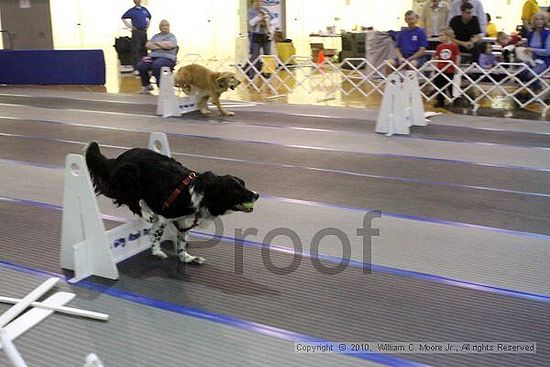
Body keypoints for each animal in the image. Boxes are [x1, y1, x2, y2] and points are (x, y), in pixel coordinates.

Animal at [85, 142, 260, 266]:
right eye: (236, 190)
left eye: (243, 184)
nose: (257, 195)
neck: (203, 194)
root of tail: (118, 159)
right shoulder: (165, 216)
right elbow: (157, 233)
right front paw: (156, 251)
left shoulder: (182, 220)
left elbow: (181, 241)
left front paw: (187, 257)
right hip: (130, 181)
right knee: (125, 199)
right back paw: (146, 214)